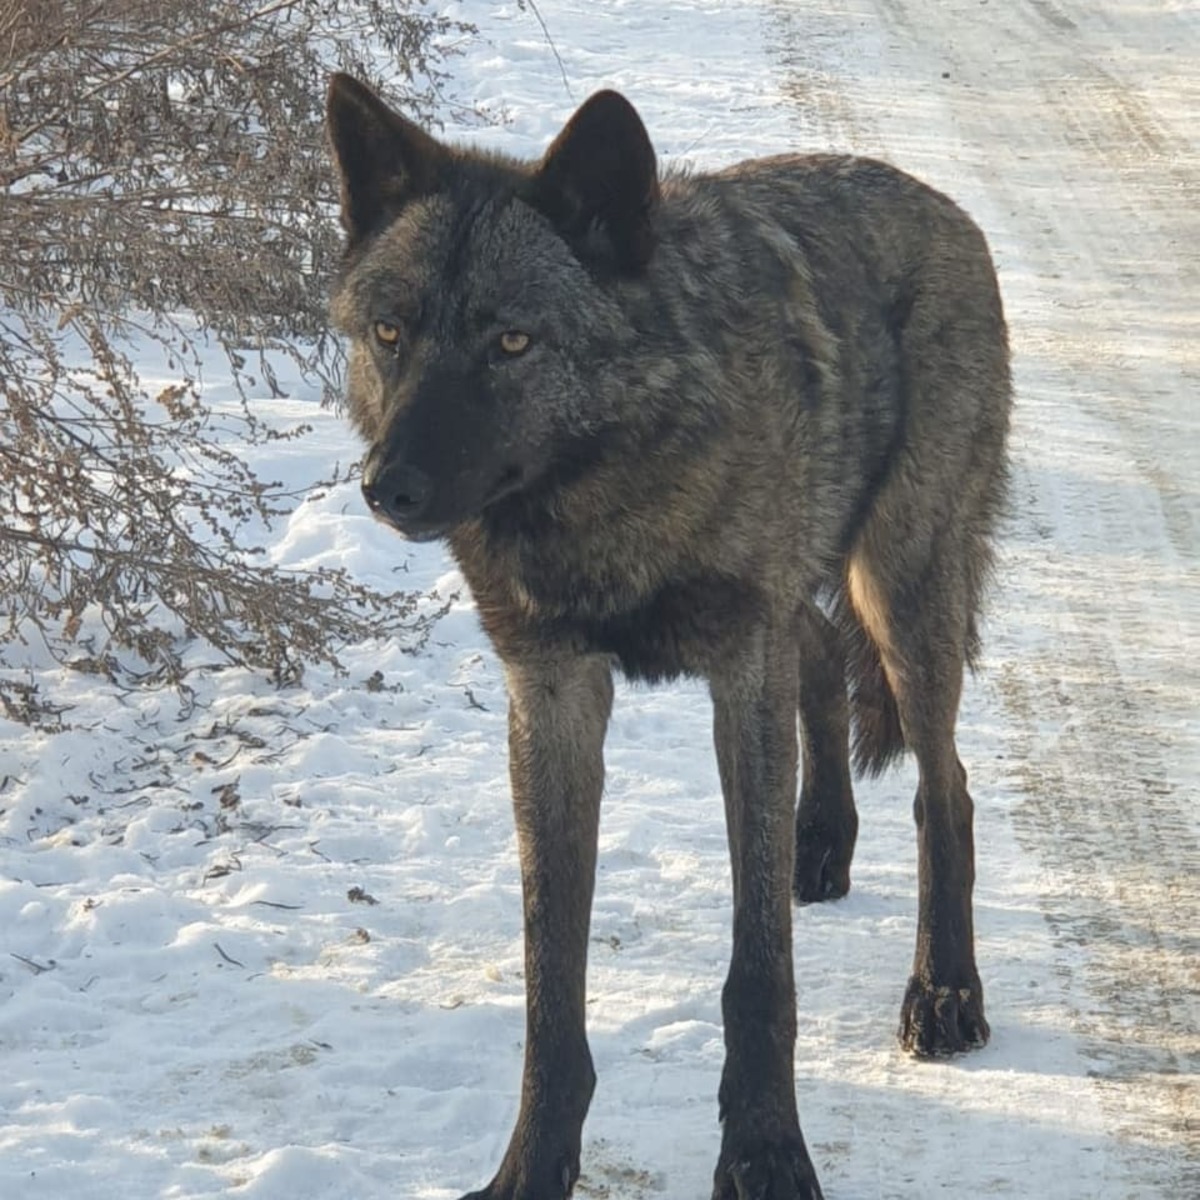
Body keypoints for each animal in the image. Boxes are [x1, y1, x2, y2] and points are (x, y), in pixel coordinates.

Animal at [324, 75, 1008, 1200]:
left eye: (512, 342)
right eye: (390, 332)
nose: (391, 488)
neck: (608, 485)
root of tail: (939, 200)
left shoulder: (739, 675)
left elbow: (759, 974)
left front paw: (766, 1153)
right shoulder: (553, 695)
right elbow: (551, 983)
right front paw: (532, 1167)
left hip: (902, 590)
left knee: (944, 786)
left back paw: (944, 990)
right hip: (815, 594)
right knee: (824, 661)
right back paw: (821, 843)